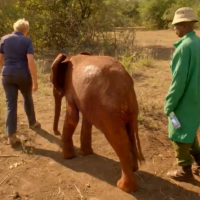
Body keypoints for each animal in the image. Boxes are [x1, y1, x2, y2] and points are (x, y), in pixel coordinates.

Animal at [49, 52, 144, 193]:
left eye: (51, 80)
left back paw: (124, 187)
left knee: (118, 138)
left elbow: (73, 117)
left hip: (109, 111)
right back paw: (134, 169)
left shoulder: (71, 88)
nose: (56, 132)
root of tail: (126, 85)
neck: (69, 58)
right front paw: (84, 154)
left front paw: (68, 157)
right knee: (130, 133)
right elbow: (86, 119)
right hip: (130, 109)